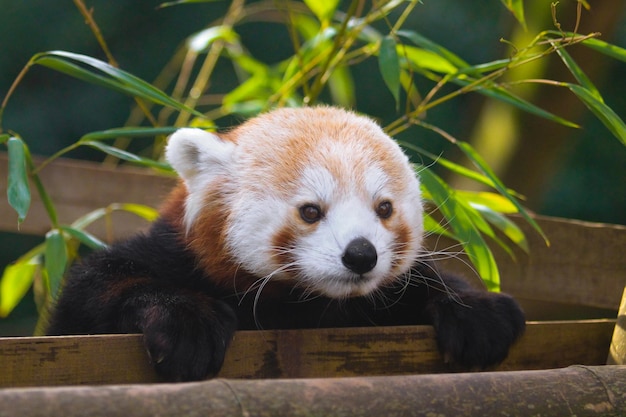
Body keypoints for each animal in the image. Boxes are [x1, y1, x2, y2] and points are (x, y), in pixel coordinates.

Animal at [48, 106, 524, 380]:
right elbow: (94, 290)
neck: (305, 304)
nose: (361, 255)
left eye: (384, 208)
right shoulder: (173, 255)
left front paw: (477, 313)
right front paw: (186, 322)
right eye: (311, 211)